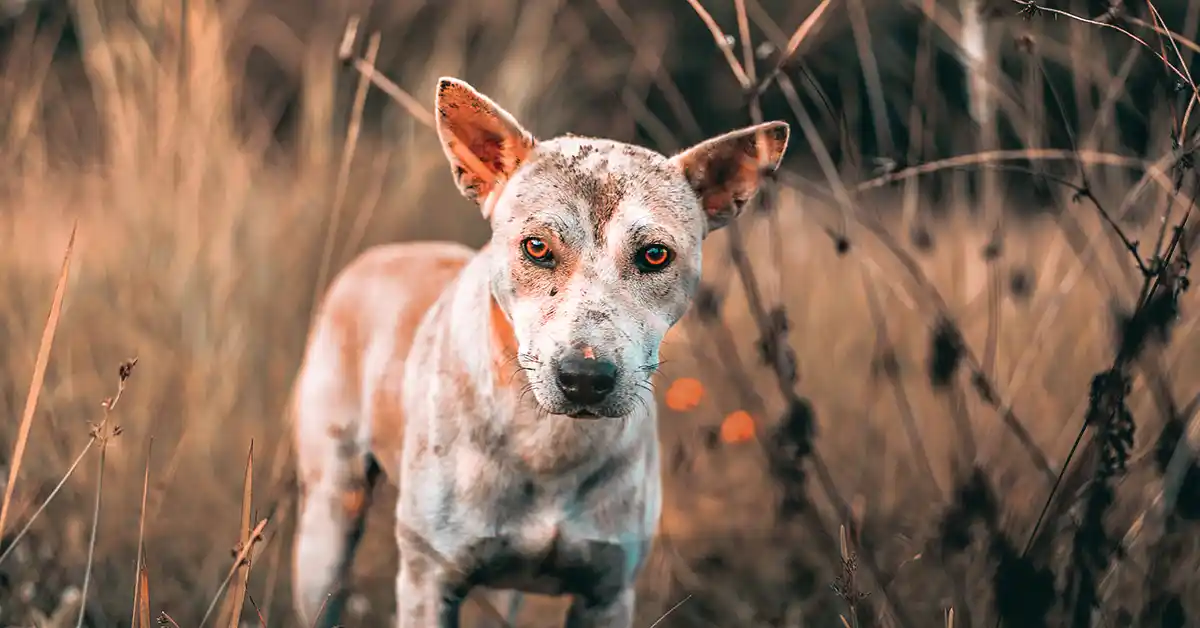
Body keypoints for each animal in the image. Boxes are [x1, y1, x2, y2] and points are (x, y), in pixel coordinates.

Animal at [290, 78, 787, 628]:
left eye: (655, 255)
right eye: (535, 247)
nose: (585, 377)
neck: (548, 443)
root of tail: (384, 254)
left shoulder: (607, 592)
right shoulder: (429, 581)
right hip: (329, 520)